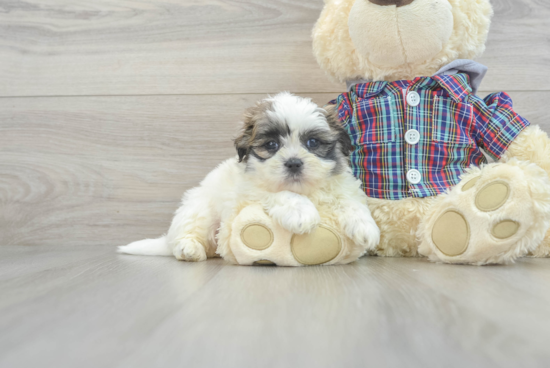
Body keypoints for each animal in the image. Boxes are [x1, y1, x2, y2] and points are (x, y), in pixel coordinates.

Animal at [118, 92, 382, 262]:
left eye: (313, 142)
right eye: (272, 145)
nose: (294, 162)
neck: (304, 189)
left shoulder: (342, 185)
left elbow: (350, 200)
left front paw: (365, 226)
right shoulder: (249, 191)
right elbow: (280, 194)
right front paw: (301, 212)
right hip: (199, 211)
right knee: (186, 235)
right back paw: (189, 249)